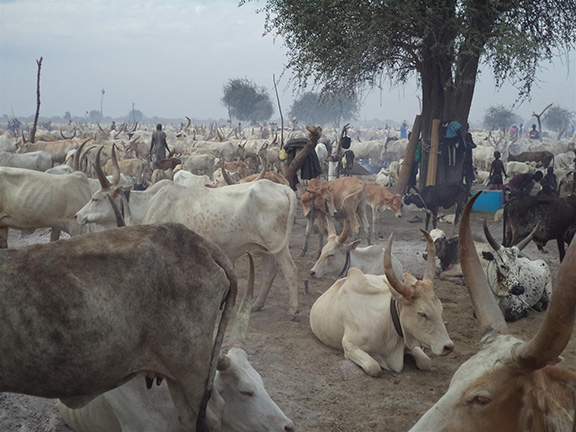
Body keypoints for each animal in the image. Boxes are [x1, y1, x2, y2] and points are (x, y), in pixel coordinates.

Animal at [75, 154, 302, 314]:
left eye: (96, 198)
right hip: (265, 248)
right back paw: (256, 305)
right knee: (271, 271)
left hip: (278, 245)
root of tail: (285, 190)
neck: (148, 203)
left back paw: (293, 309)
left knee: (291, 271)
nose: (77, 215)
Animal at [310, 230, 454, 374]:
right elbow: (374, 367)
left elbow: (426, 362)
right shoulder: (349, 346)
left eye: (440, 309)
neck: (386, 322)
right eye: (421, 313)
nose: (448, 346)